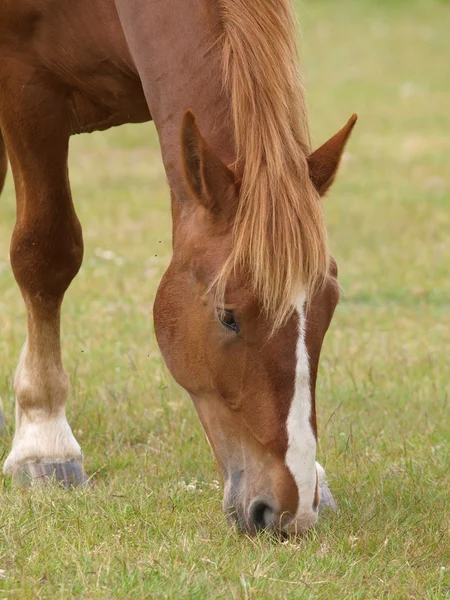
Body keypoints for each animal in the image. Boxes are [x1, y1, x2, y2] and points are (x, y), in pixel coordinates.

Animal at [0, 0, 356, 536]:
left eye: (329, 306)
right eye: (228, 316)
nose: (290, 513)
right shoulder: (24, 87)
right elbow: (46, 253)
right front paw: (42, 439)